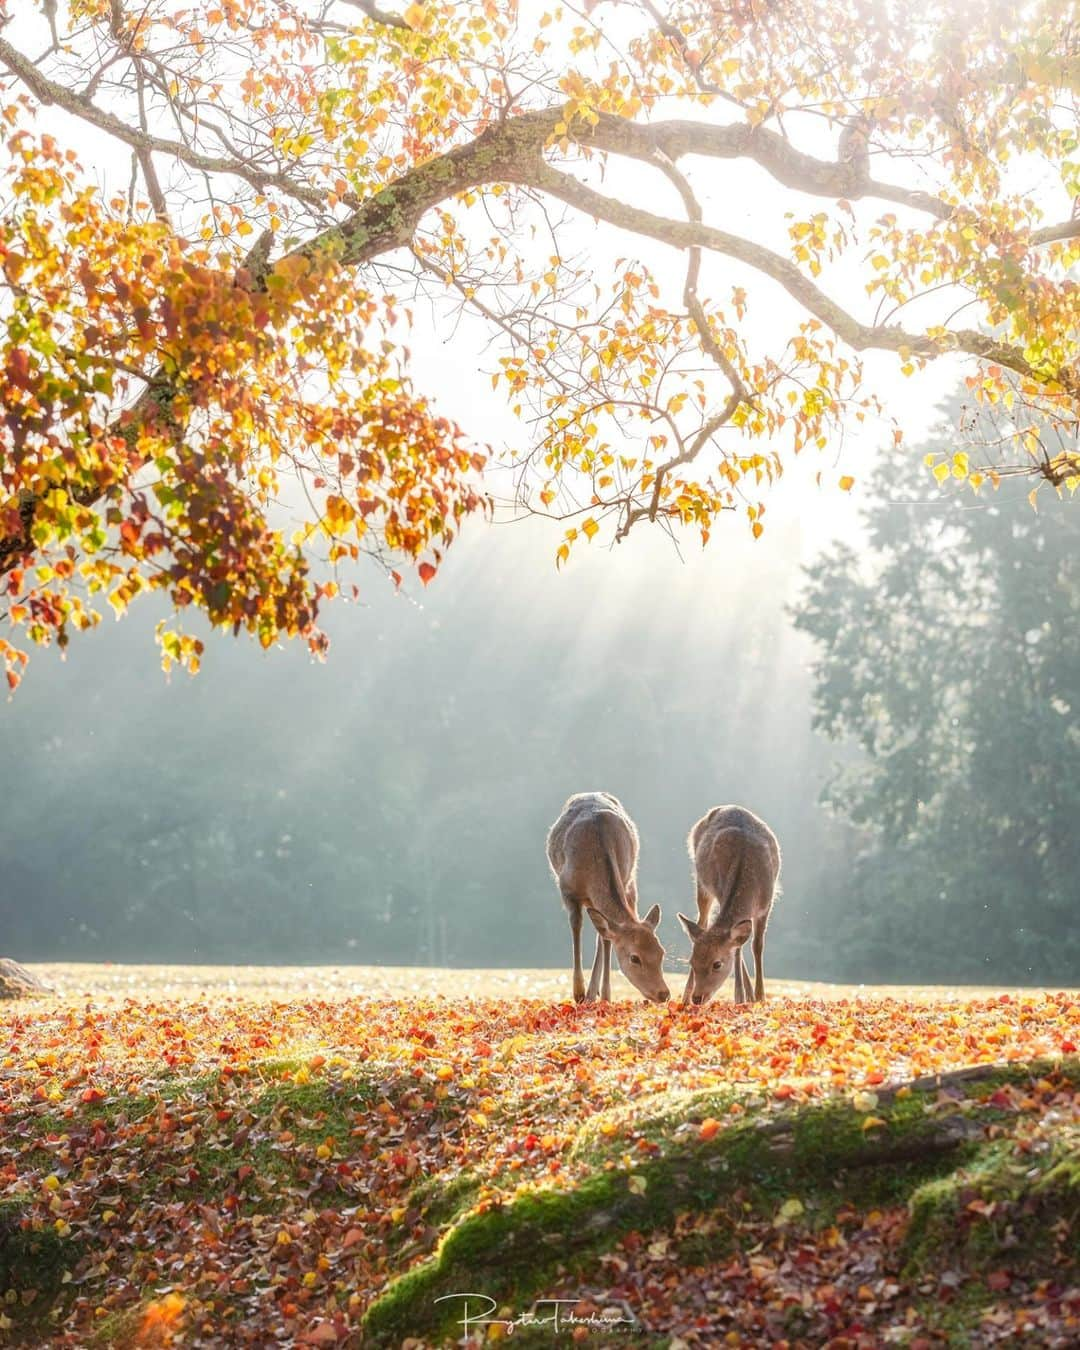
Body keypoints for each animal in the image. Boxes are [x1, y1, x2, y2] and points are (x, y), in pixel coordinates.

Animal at [545, 788, 669, 1004]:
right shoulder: (567, 889)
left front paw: (605, 995)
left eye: (661, 952)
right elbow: (576, 926)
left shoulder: (626, 880)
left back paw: (593, 993)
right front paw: (578, 992)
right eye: (634, 958)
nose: (664, 994)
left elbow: (607, 938)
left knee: (602, 933)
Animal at [680, 799, 783, 1004]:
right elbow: (737, 948)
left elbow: (756, 946)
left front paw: (759, 997)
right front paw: (740, 997)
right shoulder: (721, 894)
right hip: (701, 884)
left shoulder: (766, 906)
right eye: (692, 962)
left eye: (717, 964)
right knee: (702, 921)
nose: (697, 998)